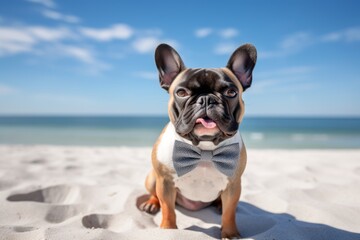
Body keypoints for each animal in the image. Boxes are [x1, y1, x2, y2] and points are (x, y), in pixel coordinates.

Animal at [139, 43, 258, 238]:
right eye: (181, 92)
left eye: (231, 92)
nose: (207, 99)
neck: (204, 148)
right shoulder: (165, 182)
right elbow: (168, 209)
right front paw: (168, 230)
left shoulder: (233, 185)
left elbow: (230, 212)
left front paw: (230, 234)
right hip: (152, 179)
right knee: (156, 196)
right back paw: (151, 203)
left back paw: (219, 204)